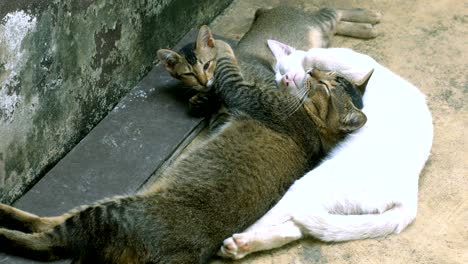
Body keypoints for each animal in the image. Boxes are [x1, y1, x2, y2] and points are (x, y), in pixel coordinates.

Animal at [0, 26, 370, 264]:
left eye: (324, 87)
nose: (312, 73)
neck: (312, 127)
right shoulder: (226, 115)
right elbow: (215, 99)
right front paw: (203, 91)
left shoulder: (246, 95)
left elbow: (228, 66)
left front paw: (218, 48)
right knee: (47, 224)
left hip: (111, 212)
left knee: (48, 242)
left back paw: (4, 220)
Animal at [156, 6, 380, 115]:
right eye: (188, 74)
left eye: (206, 64)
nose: (203, 82)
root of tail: (267, 10)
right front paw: (200, 100)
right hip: (323, 35)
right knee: (335, 23)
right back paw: (364, 28)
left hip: (321, 22)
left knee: (334, 10)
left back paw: (368, 18)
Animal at [218, 44, 434, 258]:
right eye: (278, 74)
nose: (285, 78)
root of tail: (408, 199)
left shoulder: (347, 60)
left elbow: (315, 53)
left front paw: (307, 60)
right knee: (297, 227)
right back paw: (242, 245)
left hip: (307, 188)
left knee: (281, 219)